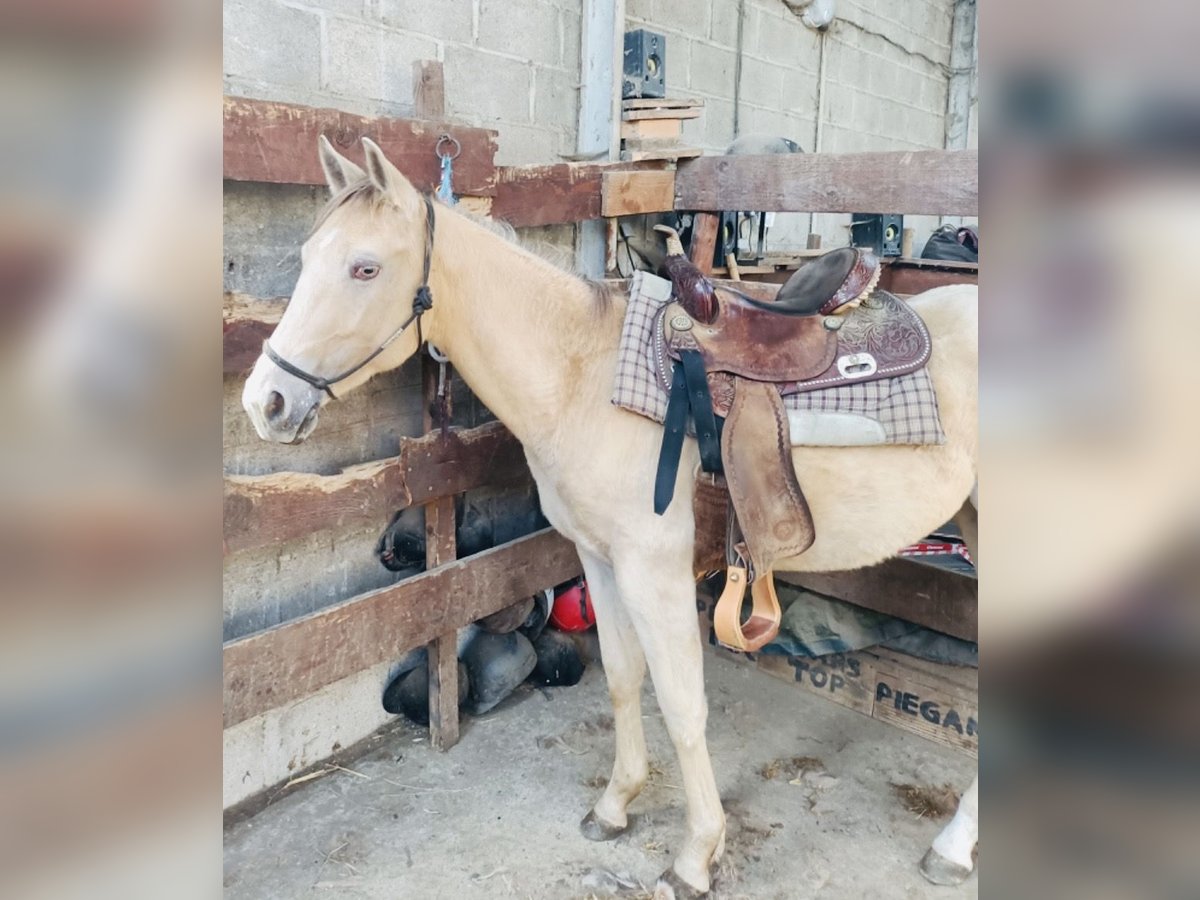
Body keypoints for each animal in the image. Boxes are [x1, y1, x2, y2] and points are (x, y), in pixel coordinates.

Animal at [241, 137, 974, 897]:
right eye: (307, 256)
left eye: (366, 267)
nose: (265, 402)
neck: (581, 378)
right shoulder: (598, 558)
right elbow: (624, 679)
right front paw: (617, 805)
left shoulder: (654, 569)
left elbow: (682, 704)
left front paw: (696, 855)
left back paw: (952, 846)